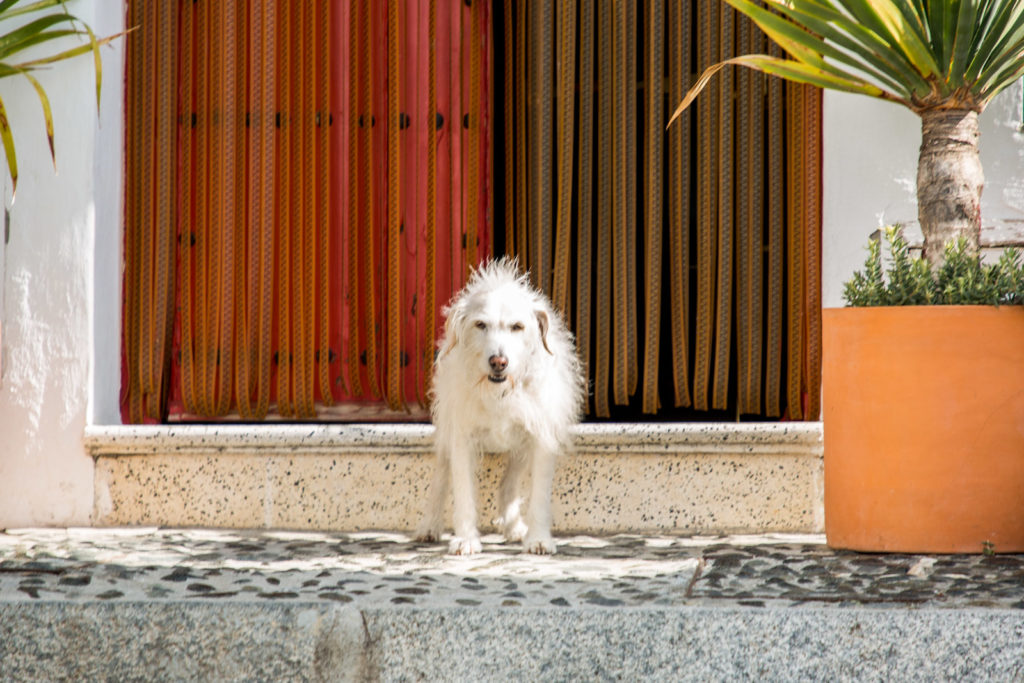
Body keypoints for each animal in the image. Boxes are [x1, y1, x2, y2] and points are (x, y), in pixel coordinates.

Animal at [415, 258, 585, 557]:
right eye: (481, 324)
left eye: (517, 326)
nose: (498, 362)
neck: (500, 392)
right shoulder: (462, 438)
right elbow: (463, 491)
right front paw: (466, 539)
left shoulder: (541, 438)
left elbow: (539, 495)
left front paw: (538, 539)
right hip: (447, 433)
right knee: (441, 479)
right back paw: (430, 525)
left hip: (520, 448)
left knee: (508, 486)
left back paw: (514, 526)